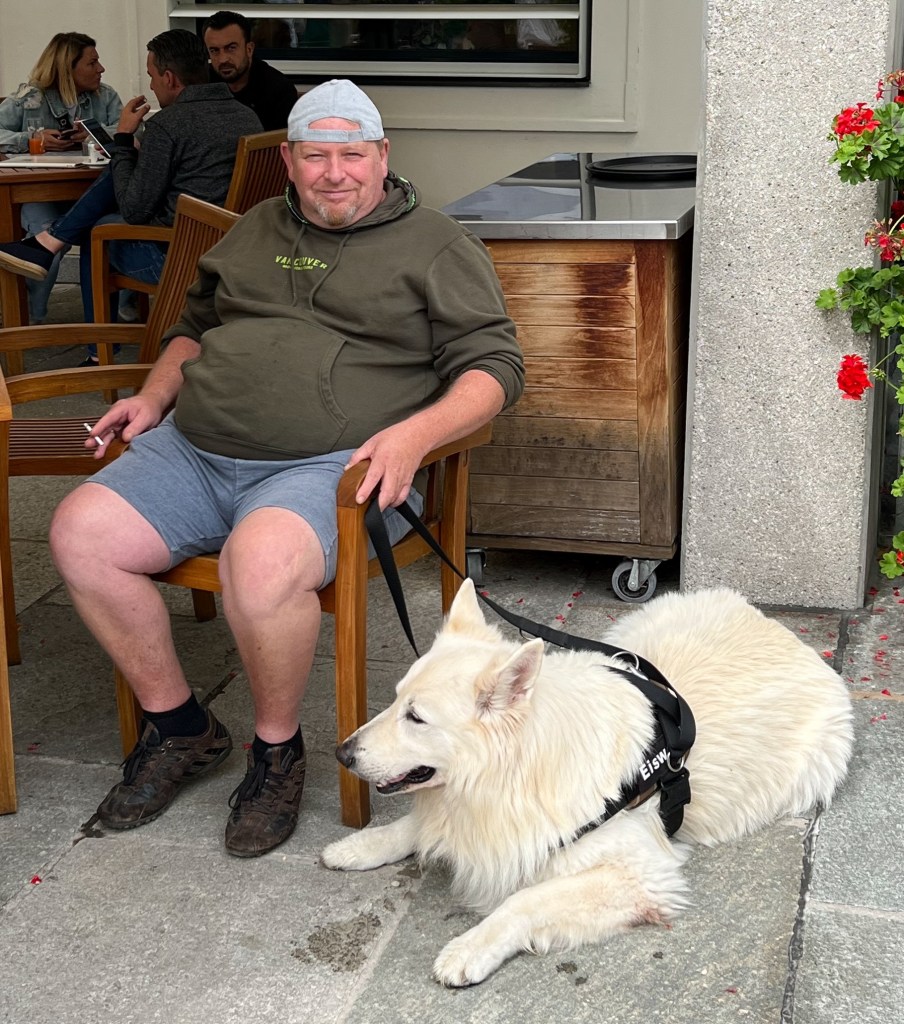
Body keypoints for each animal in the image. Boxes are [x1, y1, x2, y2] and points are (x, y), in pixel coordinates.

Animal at [321, 580, 853, 986]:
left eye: (416, 718)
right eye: (394, 700)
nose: (341, 754)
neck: (520, 770)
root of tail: (776, 625)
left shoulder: (641, 874)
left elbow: (523, 899)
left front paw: (469, 948)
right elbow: (414, 825)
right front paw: (362, 845)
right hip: (623, 646)